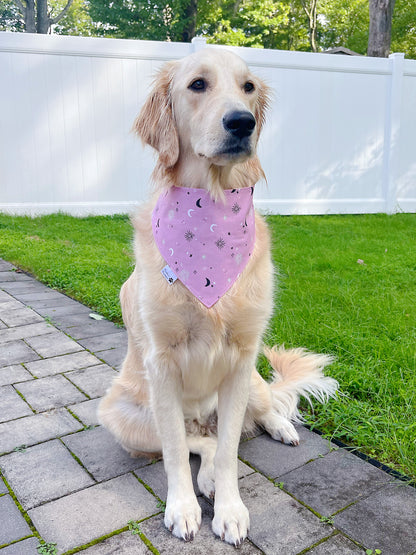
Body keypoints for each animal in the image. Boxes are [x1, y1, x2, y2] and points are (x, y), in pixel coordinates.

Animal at [98, 46, 338, 548]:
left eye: (248, 88)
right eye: (197, 85)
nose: (242, 122)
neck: (211, 209)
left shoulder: (242, 358)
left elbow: (230, 450)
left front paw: (229, 510)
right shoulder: (161, 362)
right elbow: (177, 450)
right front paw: (184, 508)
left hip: (253, 384)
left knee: (261, 413)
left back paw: (280, 428)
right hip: (120, 414)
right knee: (197, 441)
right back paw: (203, 477)